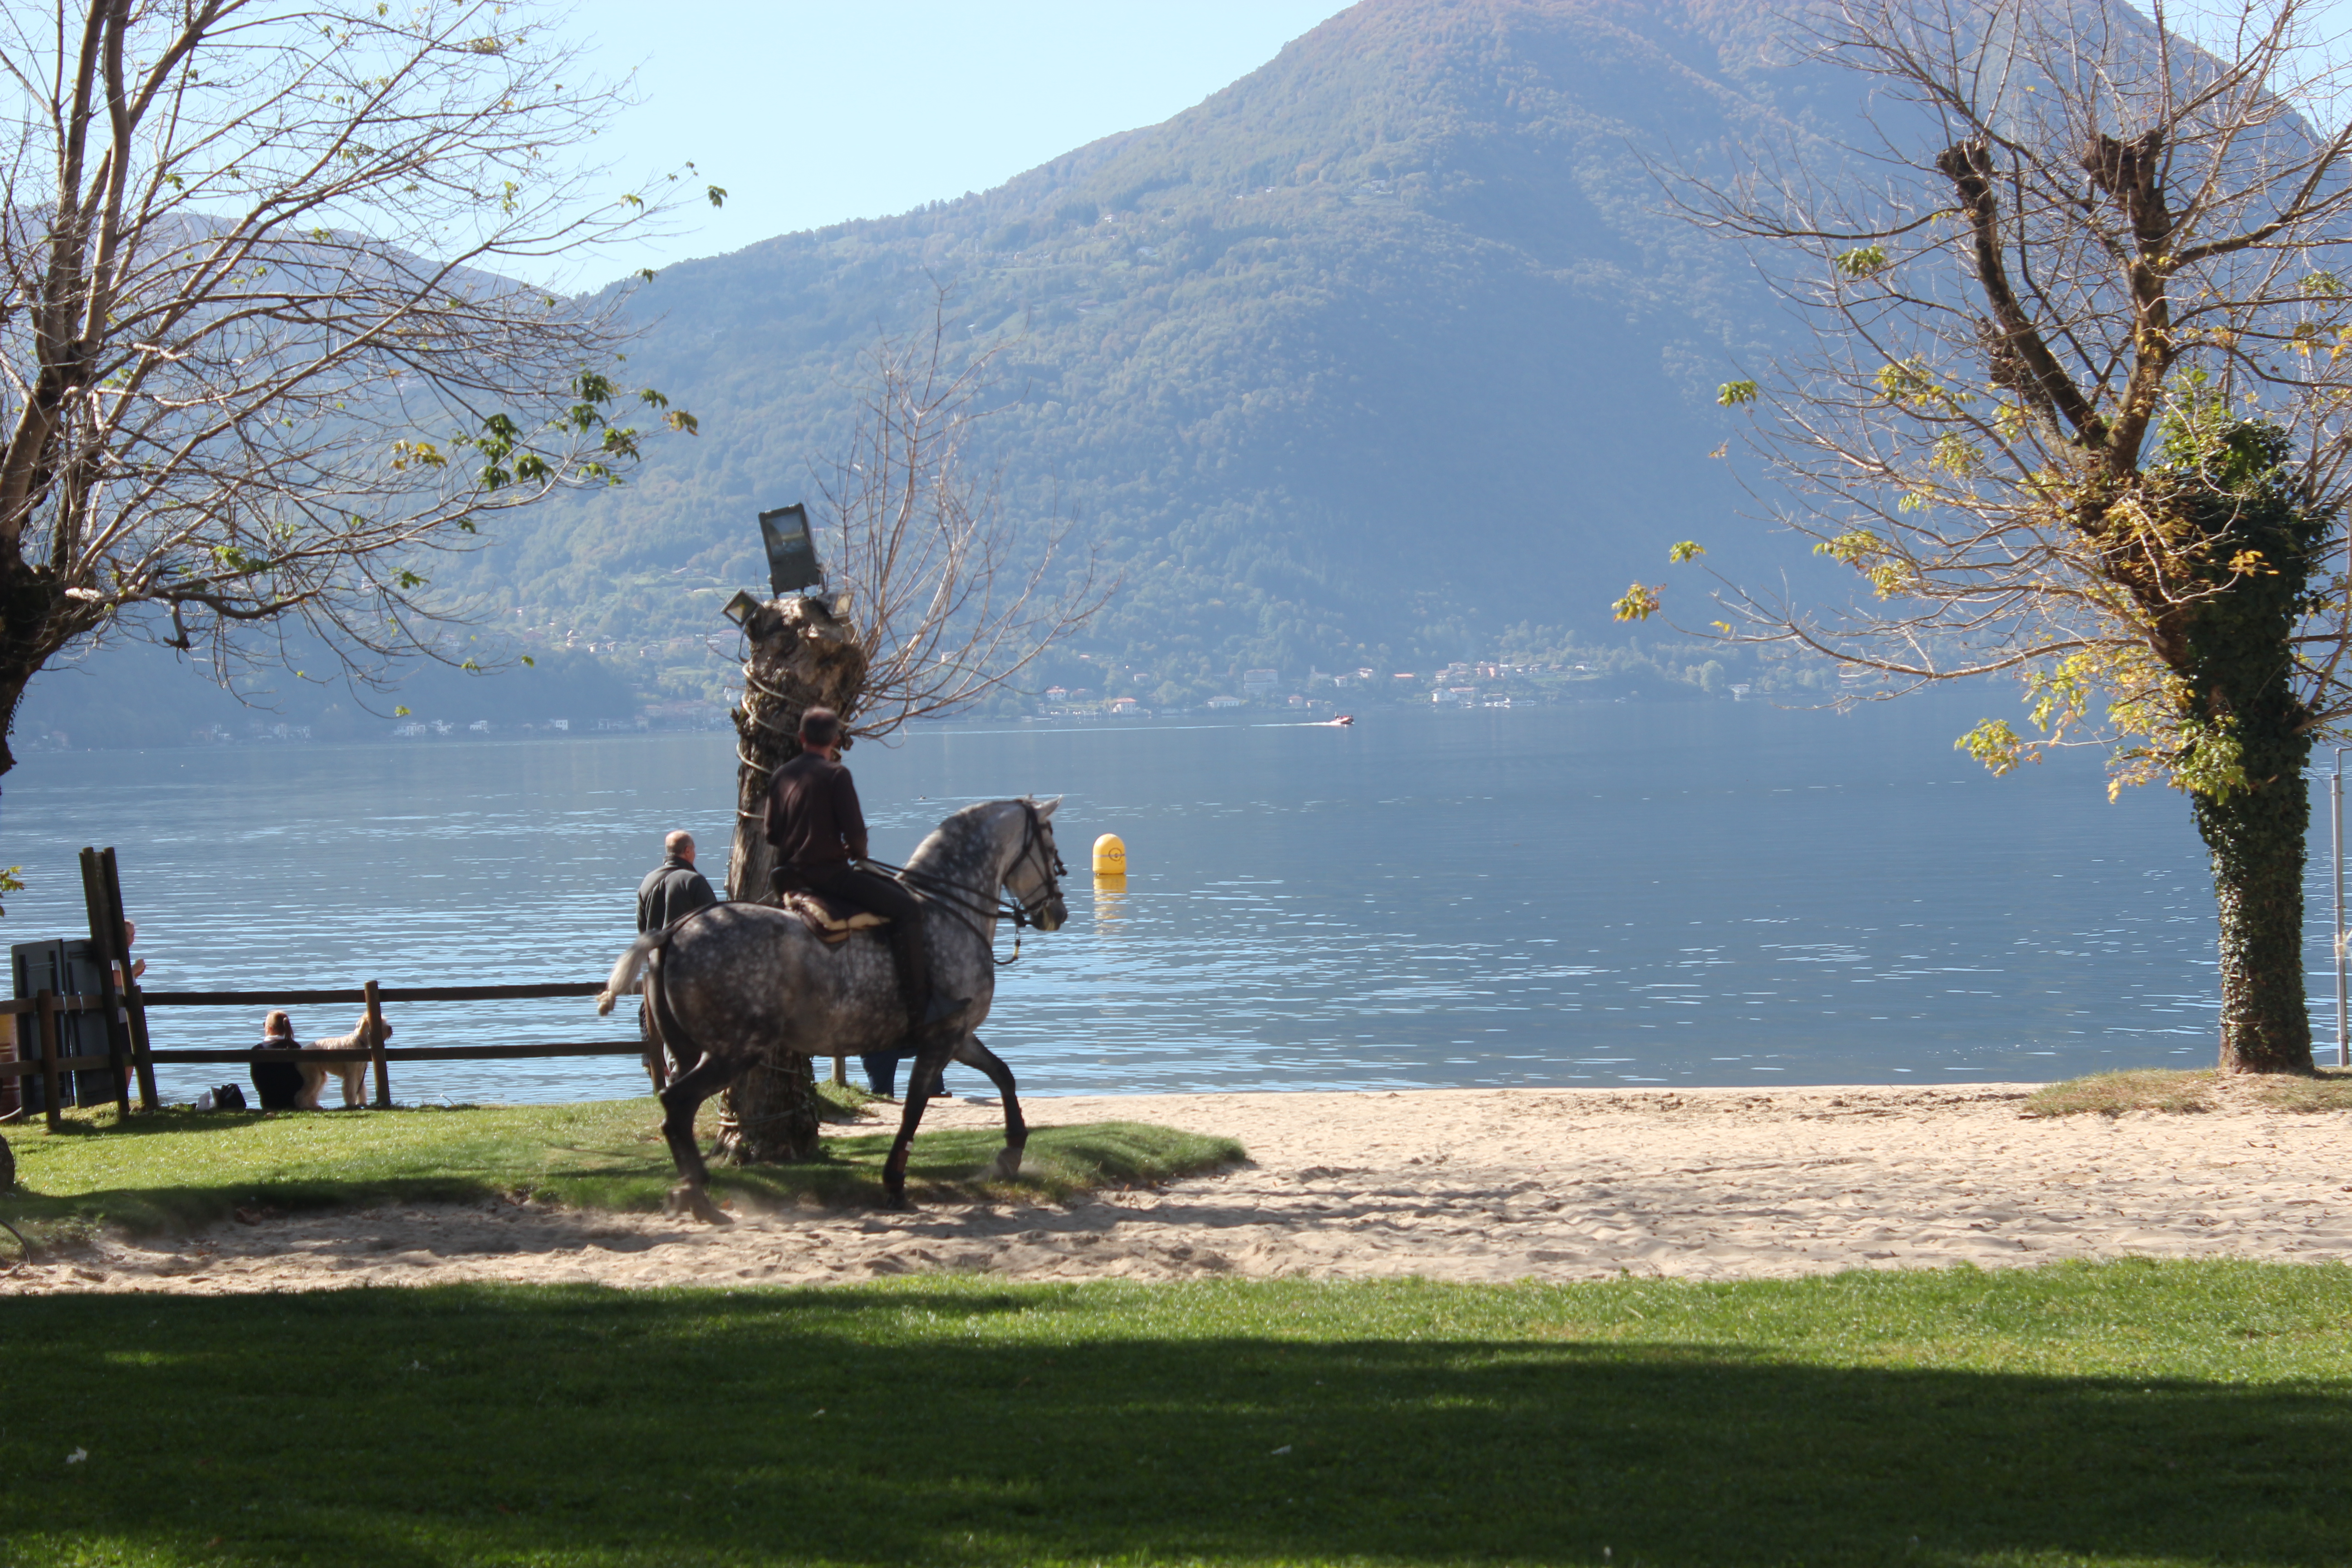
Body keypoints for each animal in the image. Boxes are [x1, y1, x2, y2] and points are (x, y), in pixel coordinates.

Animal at [593, 799, 1072, 1222]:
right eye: (1050, 844)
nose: (1058, 912)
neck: (948, 908)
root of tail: (673, 930)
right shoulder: (942, 1038)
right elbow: (915, 1109)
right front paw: (894, 1183)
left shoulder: (959, 1036)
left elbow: (1003, 1075)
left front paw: (1011, 1153)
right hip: (734, 1052)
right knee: (677, 1105)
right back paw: (699, 1196)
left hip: (693, 1051)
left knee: (679, 1111)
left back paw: (692, 1192)